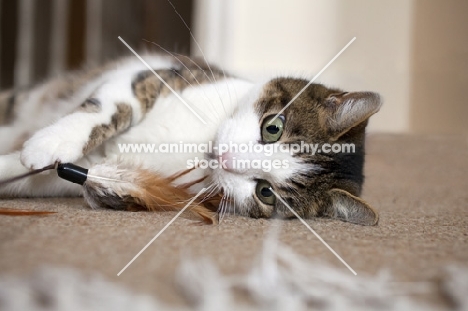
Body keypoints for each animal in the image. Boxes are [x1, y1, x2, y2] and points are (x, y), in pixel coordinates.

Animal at [0, 53, 380, 224]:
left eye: (266, 192)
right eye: (272, 127)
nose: (226, 159)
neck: (197, 145)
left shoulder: (99, 166)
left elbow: (48, 177)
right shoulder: (157, 75)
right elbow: (108, 108)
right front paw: (49, 142)